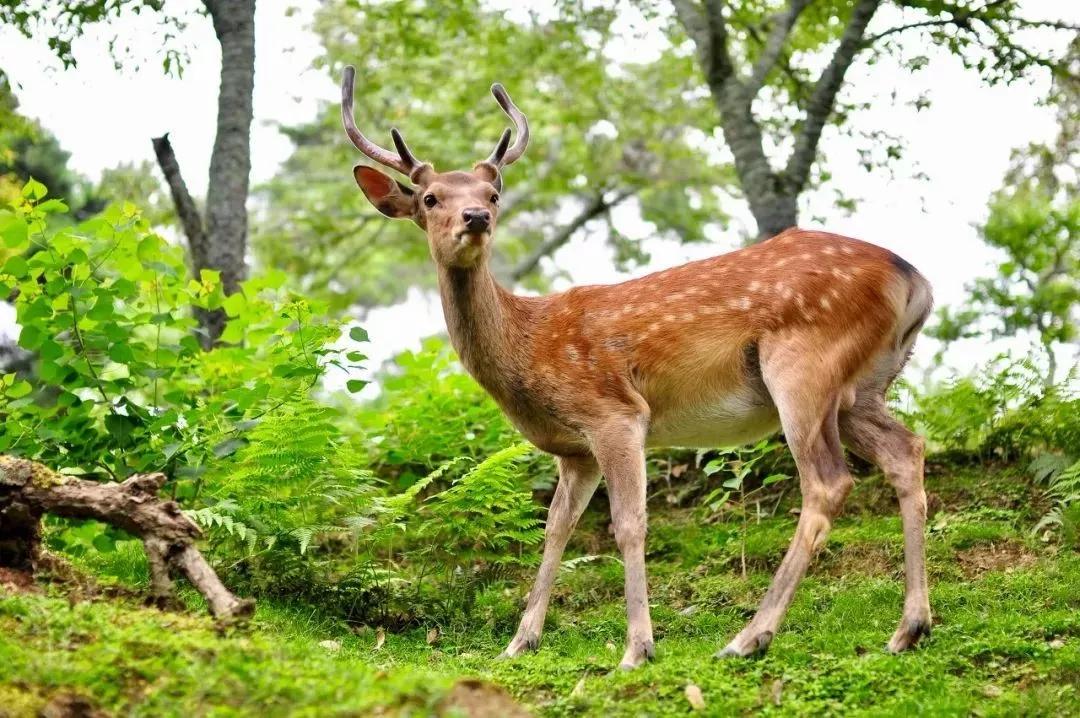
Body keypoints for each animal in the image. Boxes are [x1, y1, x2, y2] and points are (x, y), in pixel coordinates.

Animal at [341, 64, 933, 669]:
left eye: (493, 193)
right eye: (431, 197)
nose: (477, 216)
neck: (527, 347)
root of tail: (914, 280)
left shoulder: (615, 413)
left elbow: (628, 525)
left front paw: (637, 648)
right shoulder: (574, 450)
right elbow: (556, 530)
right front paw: (520, 641)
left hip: (803, 366)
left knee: (828, 482)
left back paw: (749, 636)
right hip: (862, 387)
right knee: (906, 450)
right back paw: (909, 627)